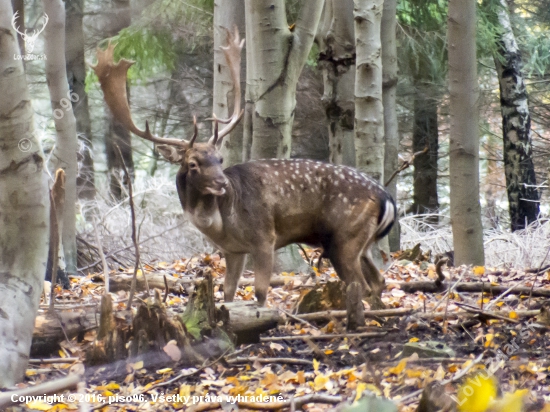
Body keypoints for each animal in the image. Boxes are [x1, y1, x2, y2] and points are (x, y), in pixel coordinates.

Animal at [95, 29, 396, 308]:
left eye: (219, 159)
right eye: (193, 164)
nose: (222, 184)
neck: (222, 223)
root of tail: (386, 198)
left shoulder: (264, 237)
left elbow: (261, 293)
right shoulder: (233, 250)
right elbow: (227, 293)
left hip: (344, 237)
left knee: (361, 284)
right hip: (361, 242)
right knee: (378, 280)